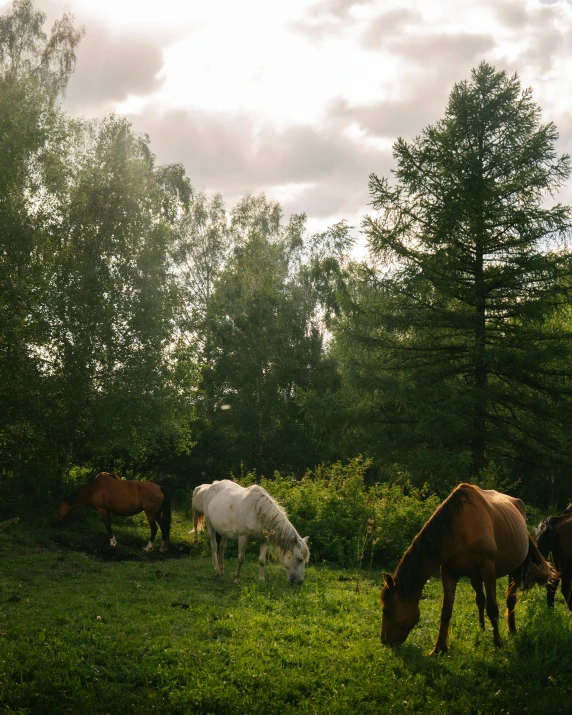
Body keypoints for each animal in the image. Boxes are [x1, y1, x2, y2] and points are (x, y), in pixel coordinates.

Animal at [380, 484, 556, 656]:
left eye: (387, 610)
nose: (384, 642)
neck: (460, 527)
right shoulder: (448, 571)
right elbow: (446, 610)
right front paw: (439, 648)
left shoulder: (488, 569)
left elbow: (492, 608)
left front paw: (498, 643)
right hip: (474, 576)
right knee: (480, 599)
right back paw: (482, 629)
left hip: (514, 568)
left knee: (509, 600)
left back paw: (511, 630)